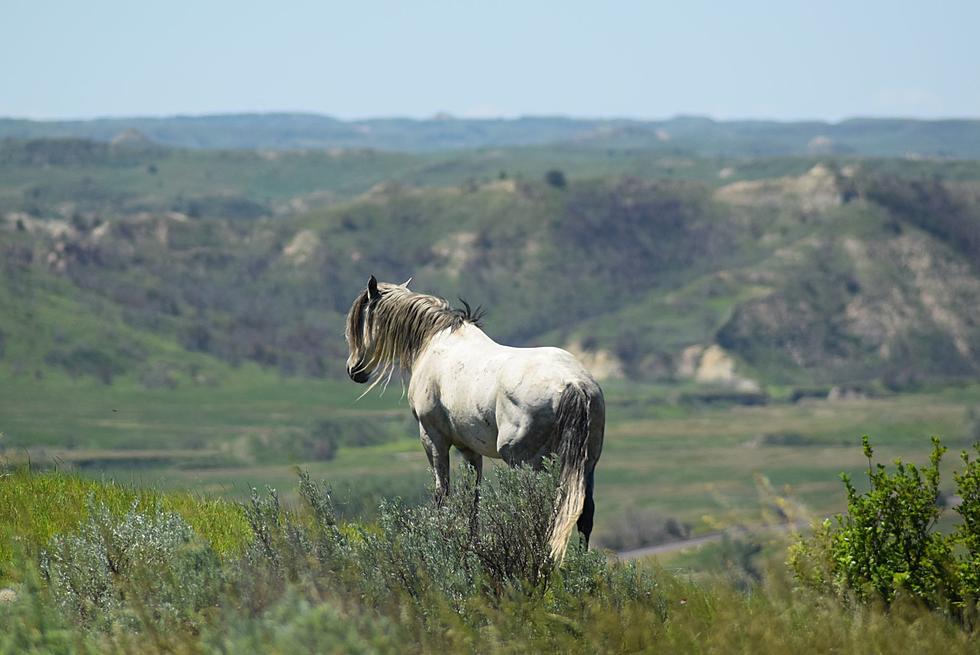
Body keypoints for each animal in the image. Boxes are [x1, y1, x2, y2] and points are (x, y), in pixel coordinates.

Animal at [344, 274, 604, 560]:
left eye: (359, 322)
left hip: (524, 461)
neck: (435, 342)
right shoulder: (468, 449)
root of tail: (574, 383)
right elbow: (473, 498)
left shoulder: (433, 438)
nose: (353, 370)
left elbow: (442, 494)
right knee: (582, 512)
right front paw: (471, 545)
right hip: (587, 463)